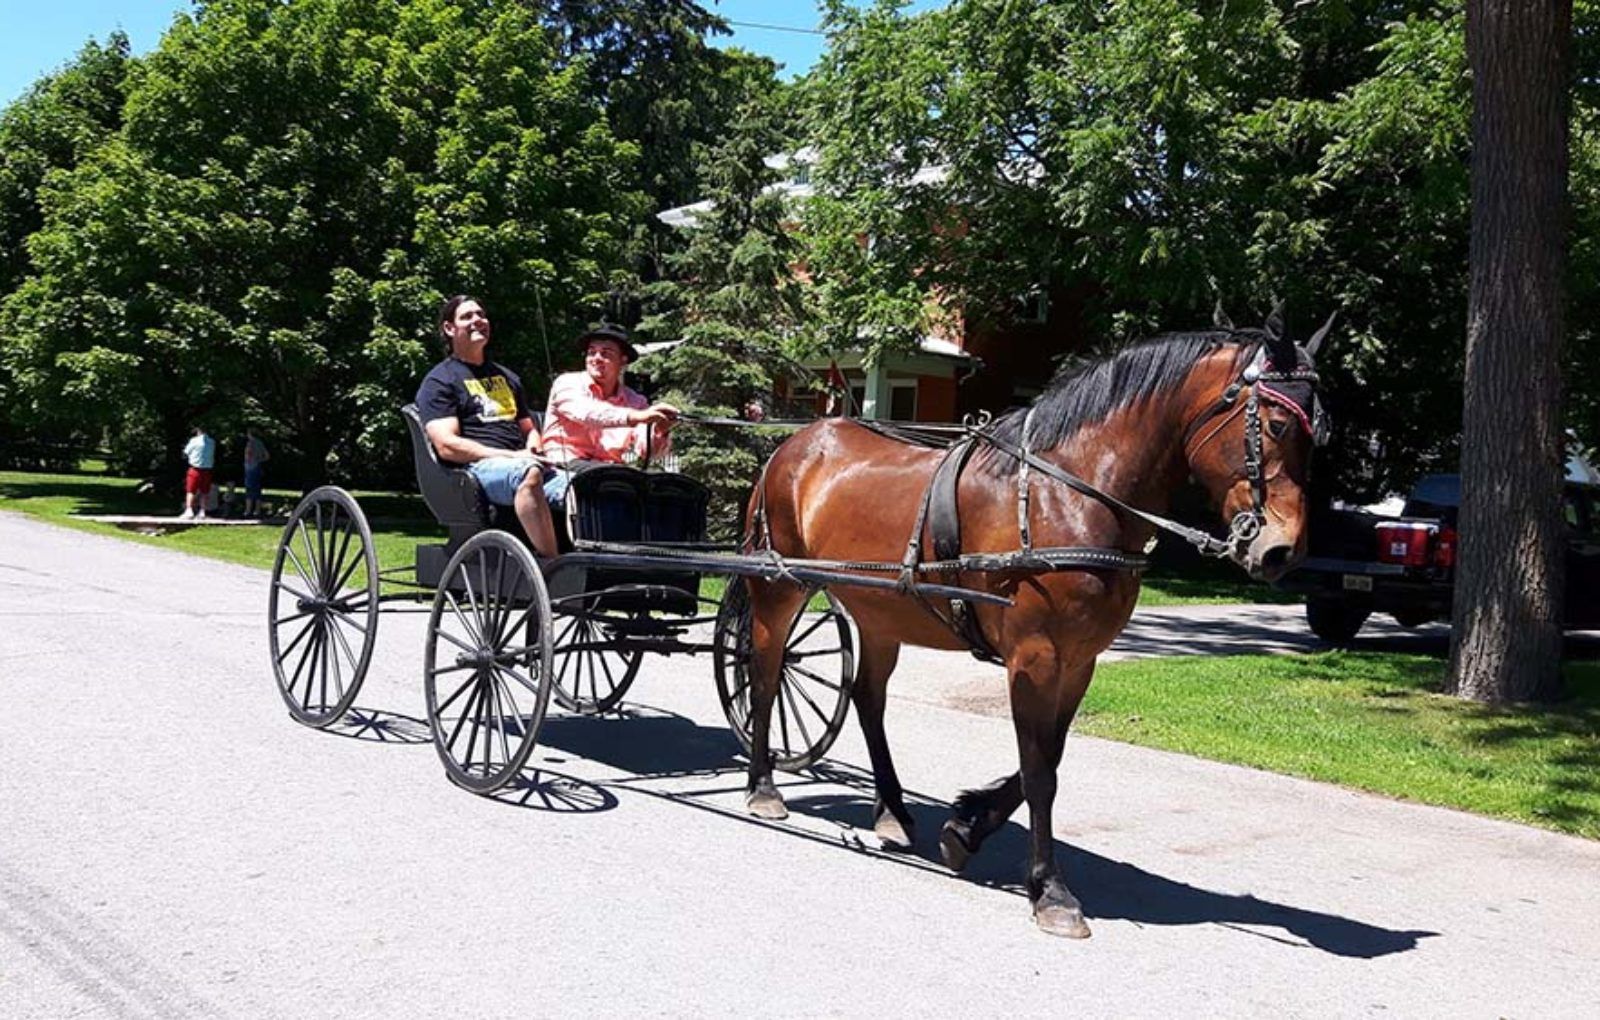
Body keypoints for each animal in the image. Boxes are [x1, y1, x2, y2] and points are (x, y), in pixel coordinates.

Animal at [738, 315, 1330, 938]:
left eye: (1321, 432)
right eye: (1277, 423)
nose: (1283, 551)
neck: (1067, 493)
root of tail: (796, 443)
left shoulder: (1079, 660)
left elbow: (1048, 758)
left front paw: (967, 826)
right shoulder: (1034, 656)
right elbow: (1040, 770)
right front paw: (1050, 891)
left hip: (880, 614)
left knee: (867, 700)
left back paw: (893, 813)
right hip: (779, 590)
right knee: (765, 675)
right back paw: (764, 788)